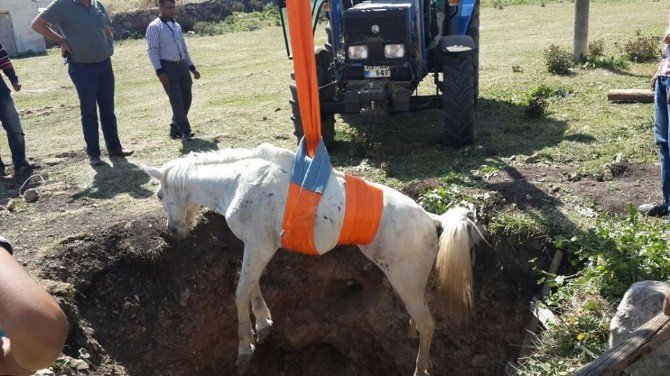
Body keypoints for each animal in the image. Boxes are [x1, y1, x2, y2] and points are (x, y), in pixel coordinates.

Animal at [144, 142, 486, 374]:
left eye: (160, 195)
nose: (173, 232)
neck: (239, 182)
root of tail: (432, 219)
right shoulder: (256, 246)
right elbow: (251, 284)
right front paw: (264, 322)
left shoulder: (259, 246)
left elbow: (241, 292)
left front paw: (245, 346)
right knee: (420, 322)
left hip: (406, 280)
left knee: (428, 323)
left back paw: (420, 367)